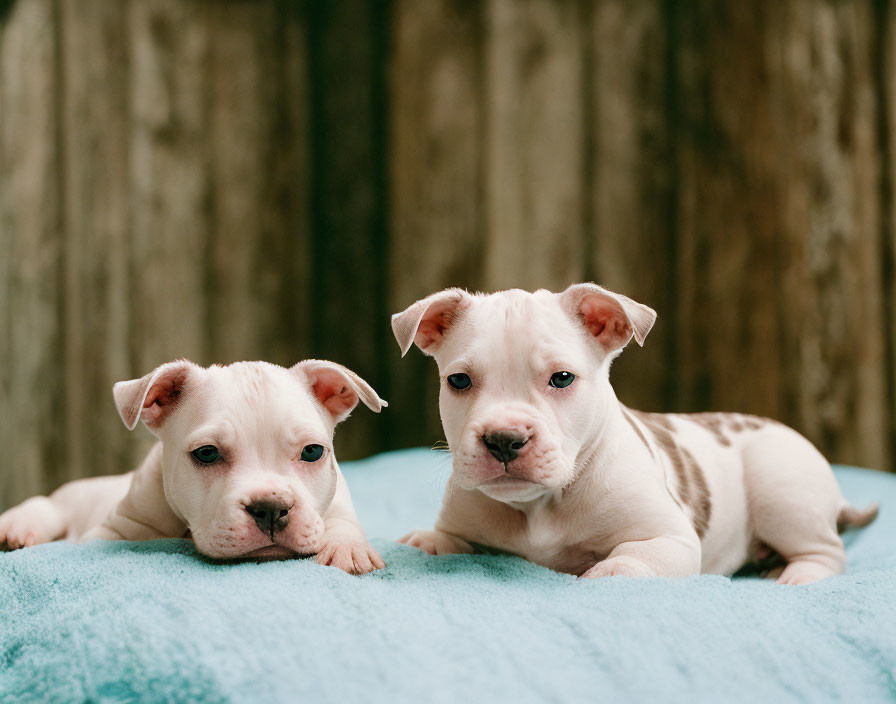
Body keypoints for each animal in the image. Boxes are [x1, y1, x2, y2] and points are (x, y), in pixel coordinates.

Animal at [3, 360, 388, 576]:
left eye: (312, 452)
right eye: (206, 454)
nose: (270, 508)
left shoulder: (337, 499)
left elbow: (341, 520)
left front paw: (346, 548)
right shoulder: (115, 530)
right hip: (63, 503)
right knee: (45, 508)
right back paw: (18, 528)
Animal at [390, 284, 876, 584]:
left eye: (562, 378)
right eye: (458, 381)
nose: (504, 439)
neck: (540, 506)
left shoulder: (671, 540)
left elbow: (630, 560)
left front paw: (604, 571)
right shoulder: (465, 520)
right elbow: (449, 539)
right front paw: (426, 540)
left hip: (784, 494)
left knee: (827, 551)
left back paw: (797, 574)